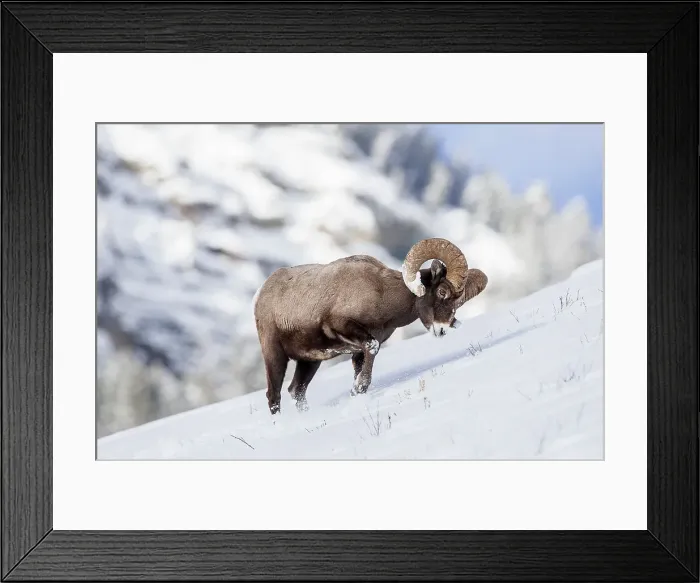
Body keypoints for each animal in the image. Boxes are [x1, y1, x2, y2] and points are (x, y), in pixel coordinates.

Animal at [253, 238, 488, 415]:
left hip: (310, 361)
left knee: (297, 391)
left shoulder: (358, 351)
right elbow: (372, 349)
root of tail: (261, 294)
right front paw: (358, 389)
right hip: (275, 355)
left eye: (457, 302)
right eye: (441, 292)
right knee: (274, 396)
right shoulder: (345, 328)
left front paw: (357, 392)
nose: (442, 330)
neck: (382, 293)